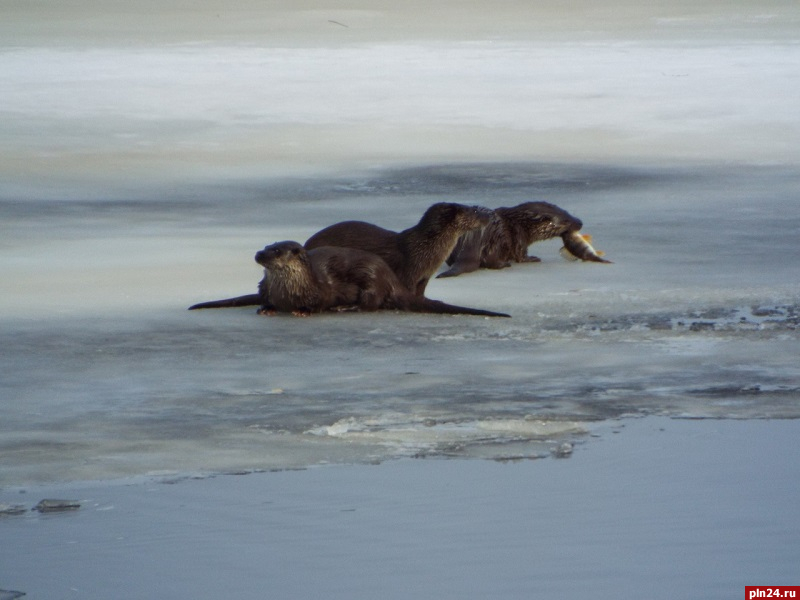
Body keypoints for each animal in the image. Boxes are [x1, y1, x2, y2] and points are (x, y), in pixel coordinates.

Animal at [438, 200, 612, 278]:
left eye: (567, 212)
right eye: (566, 221)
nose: (580, 222)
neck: (520, 222)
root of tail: (472, 240)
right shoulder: (519, 235)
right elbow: (521, 255)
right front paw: (533, 258)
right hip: (498, 239)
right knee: (492, 261)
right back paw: (504, 264)